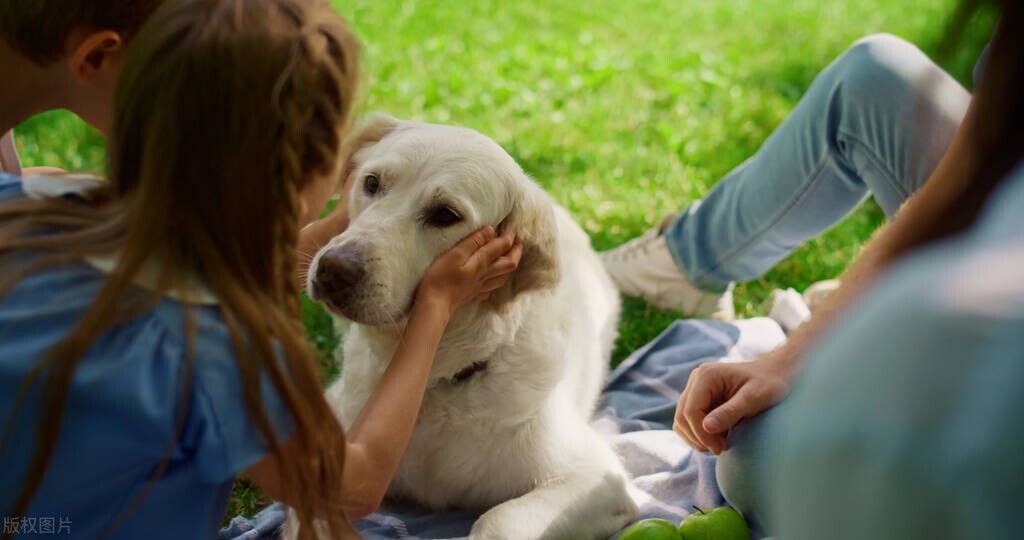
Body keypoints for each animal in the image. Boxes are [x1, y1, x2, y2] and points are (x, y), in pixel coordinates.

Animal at [299, 116, 634, 536]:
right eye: (372, 183)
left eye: (445, 215)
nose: (335, 270)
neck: (435, 382)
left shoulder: (597, 478)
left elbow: (498, 519)